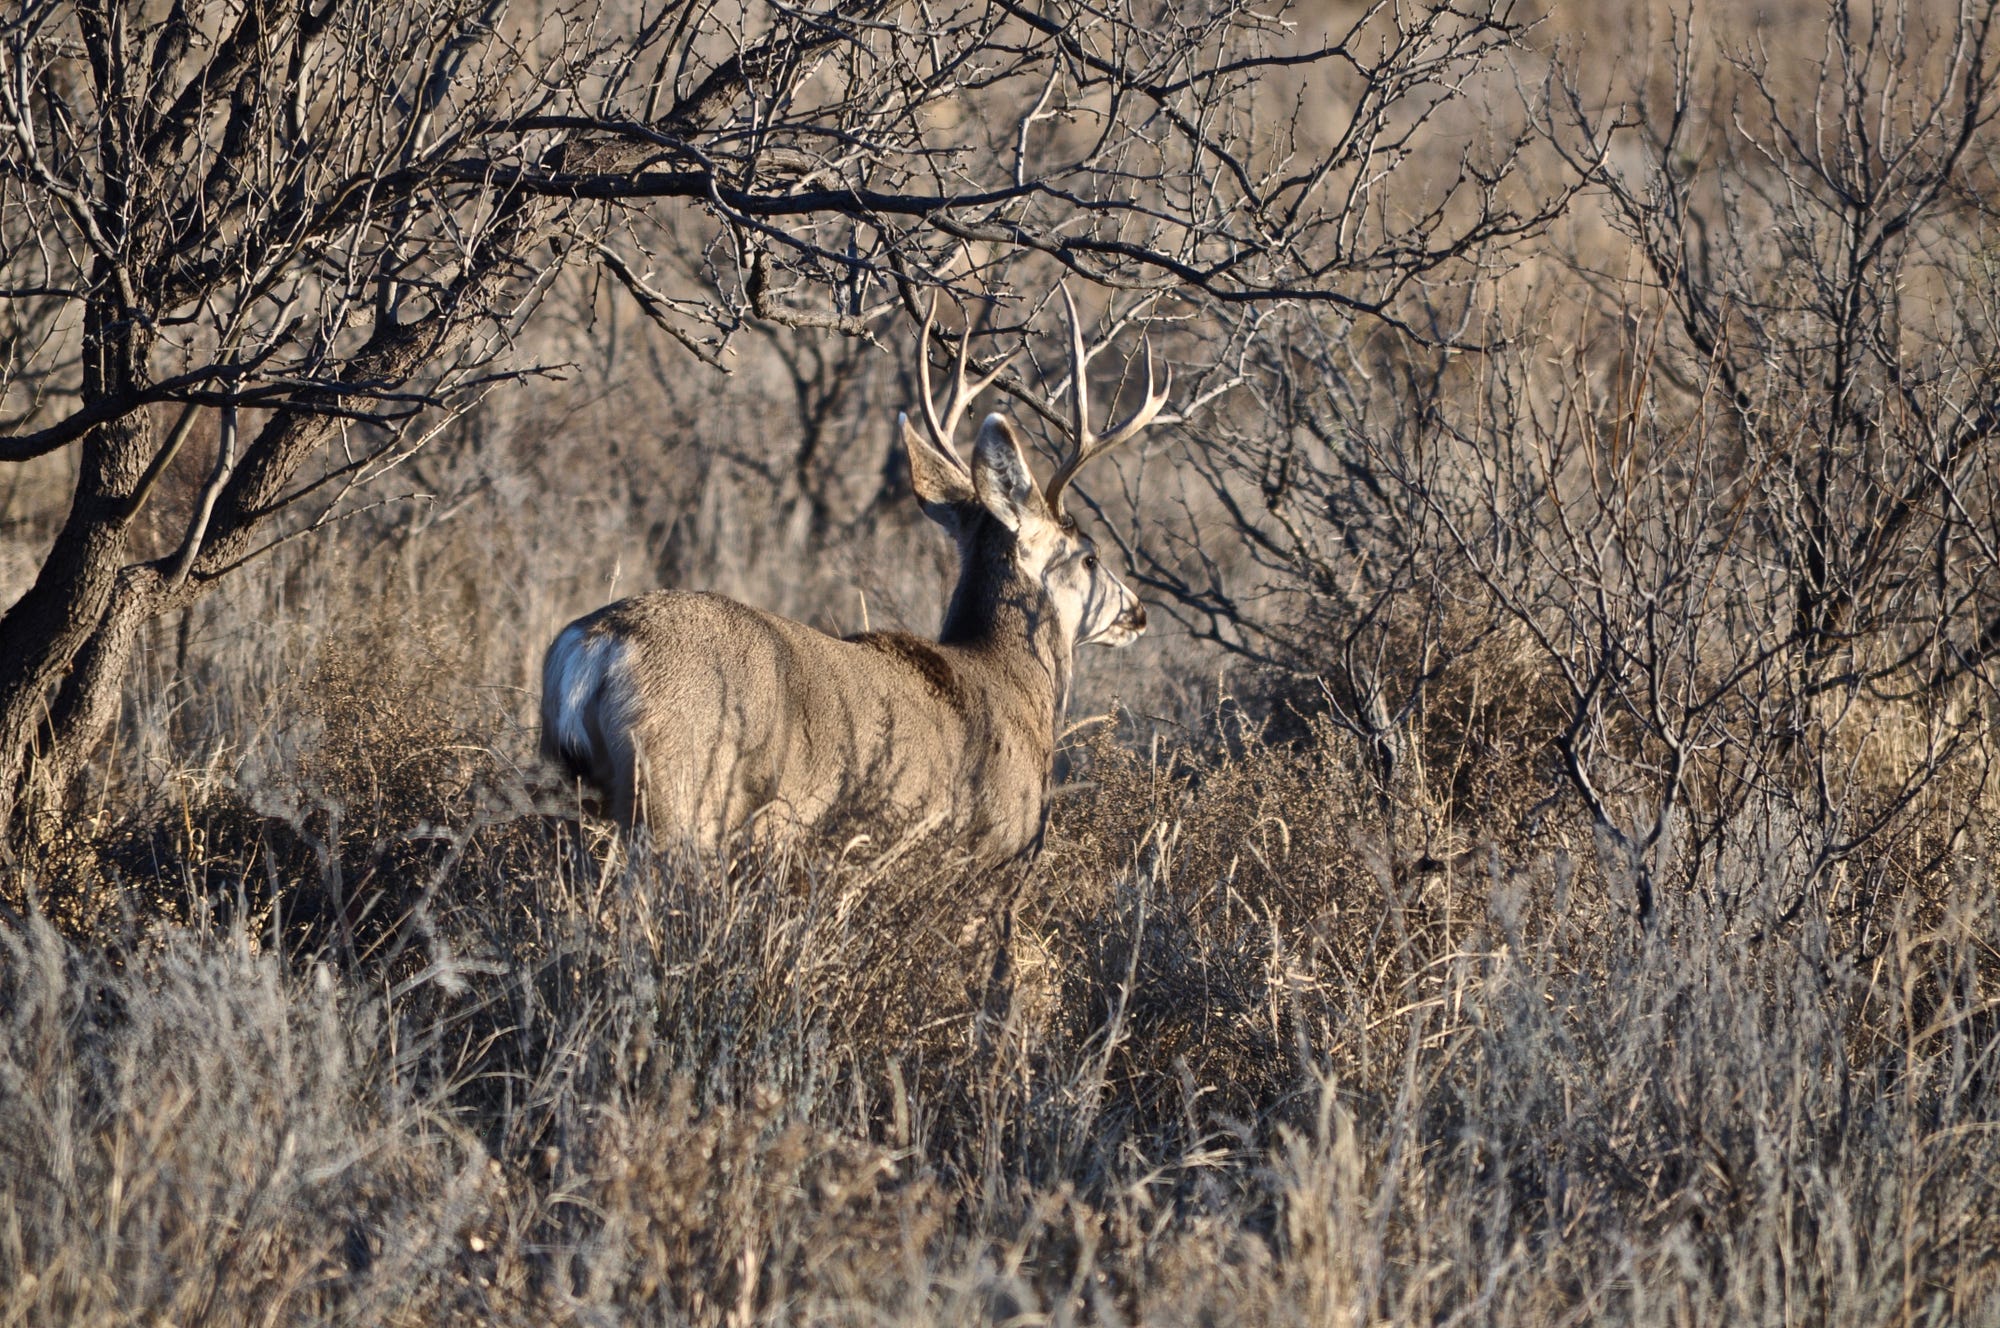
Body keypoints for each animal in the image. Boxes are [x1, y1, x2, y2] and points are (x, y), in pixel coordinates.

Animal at [544, 286, 1168, 868]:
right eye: (1089, 556)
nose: (1138, 611)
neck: (1010, 683)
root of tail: (598, 643)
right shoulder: (990, 849)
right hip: (681, 792)